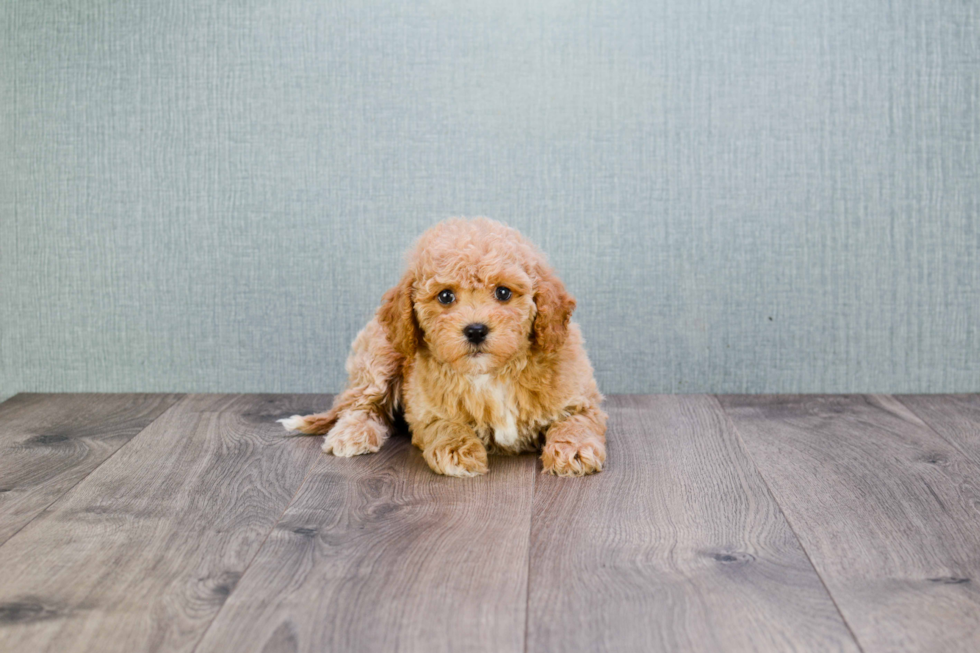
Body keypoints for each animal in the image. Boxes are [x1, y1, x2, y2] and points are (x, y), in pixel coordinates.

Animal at [280, 216, 608, 476]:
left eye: (503, 292)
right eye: (446, 296)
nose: (475, 330)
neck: (492, 373)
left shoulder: (581, 399)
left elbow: (575, 422)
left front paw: (573, 450)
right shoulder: (426, 409)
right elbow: (445, 425)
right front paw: (457, 451)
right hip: (380, 355)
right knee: (362, 404)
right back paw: (352, 433)